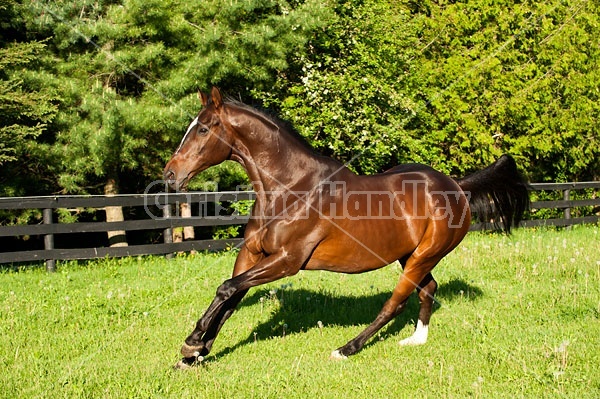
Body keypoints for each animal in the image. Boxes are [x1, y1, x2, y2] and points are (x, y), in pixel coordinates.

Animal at [164, 87, 528, 368]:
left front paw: (192, 343)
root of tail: (456, 186)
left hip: (425, 255)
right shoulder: (253, 254)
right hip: (411, 255)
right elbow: (230, 297)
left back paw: (346, 349)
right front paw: (196, 354)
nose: (169, 174)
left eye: (203, 129)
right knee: (428, 289)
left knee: (395, 303)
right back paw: (416, 340)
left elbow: (226, 289)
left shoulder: (287, 261)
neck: (290, 188)